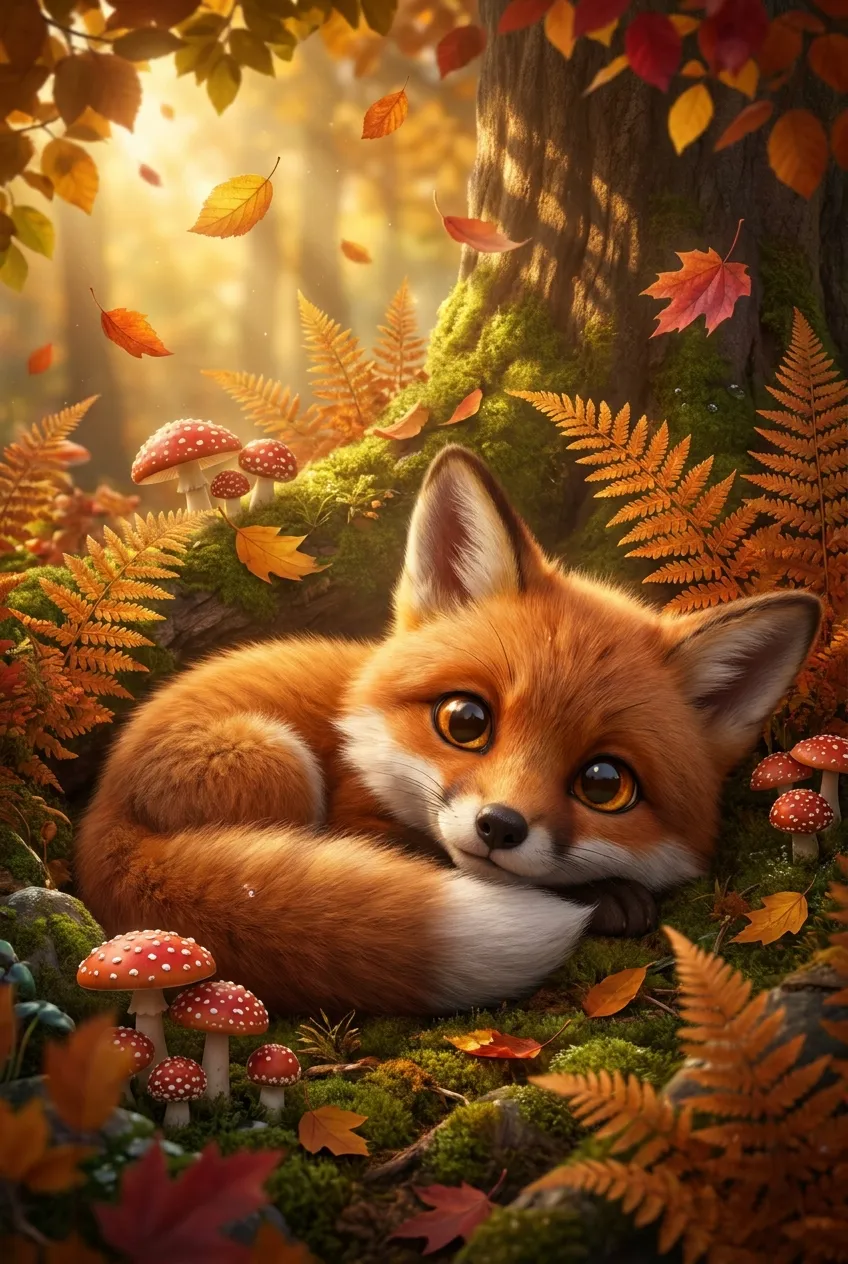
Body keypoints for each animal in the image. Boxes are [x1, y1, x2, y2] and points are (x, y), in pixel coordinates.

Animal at [76, 445, 821, 1017]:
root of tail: (100, 814)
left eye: (605, 783)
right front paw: (600, 897)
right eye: (466, 721)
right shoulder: (354, 814)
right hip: (274, 759)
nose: (499, 826)